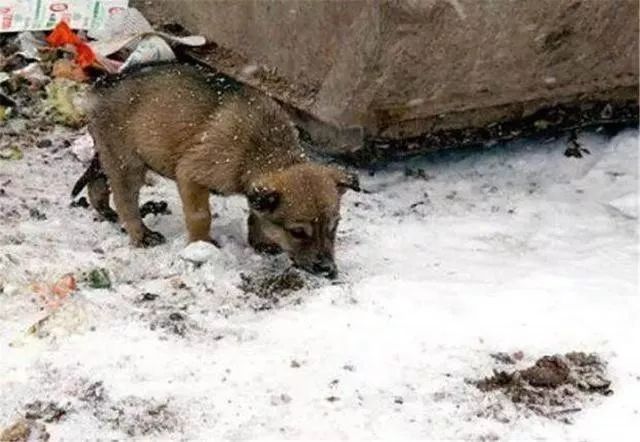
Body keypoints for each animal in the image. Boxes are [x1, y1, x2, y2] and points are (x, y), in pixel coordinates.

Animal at [74, 64, 360, 278]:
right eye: (298, 232)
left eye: (334, 227)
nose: (328, 270)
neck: (264, 149)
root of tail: (102, 83)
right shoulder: (190, 174)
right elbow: (201, 216)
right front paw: (202, 246)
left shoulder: (257, 189)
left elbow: (256, 215)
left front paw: (261, 241)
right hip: (128, 163)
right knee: (125, 200)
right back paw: (141, 234)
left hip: (113, 154)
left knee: (98, 182)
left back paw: (104, 210)